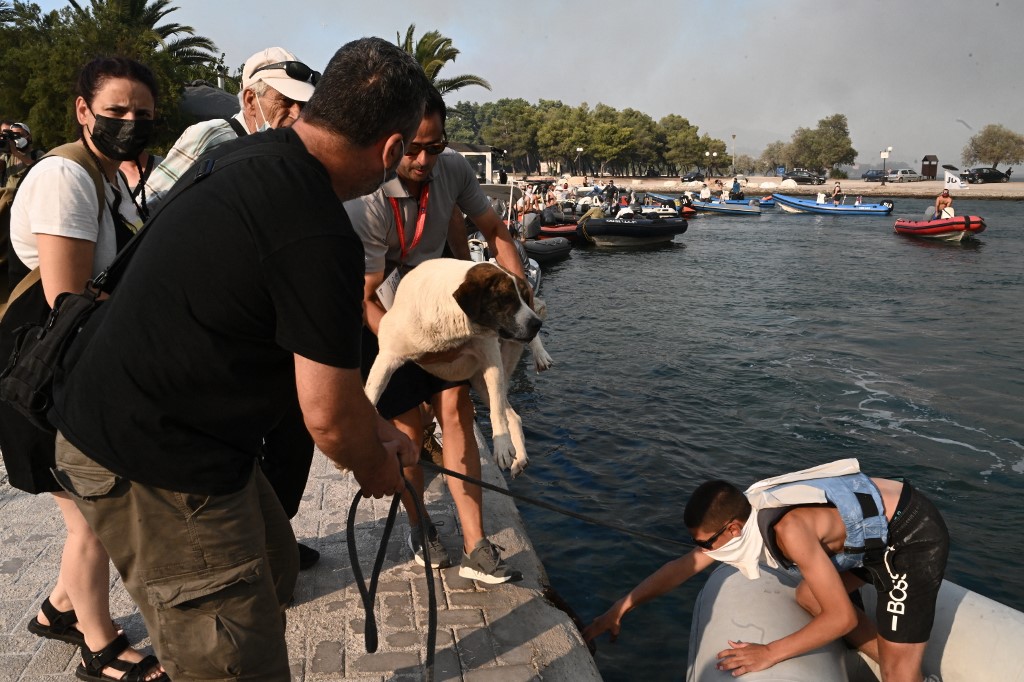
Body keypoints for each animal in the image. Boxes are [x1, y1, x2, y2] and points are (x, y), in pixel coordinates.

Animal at [362, 258, 548, 475]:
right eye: (506, 298)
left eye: (524, 297)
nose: (537, 324)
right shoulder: (386, 356)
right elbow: (371, 393)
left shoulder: (491, 357)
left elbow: (496, 411)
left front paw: (502, 446)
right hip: (481, 382)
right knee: (513, 416)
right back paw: (519, 458)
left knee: (504, 408)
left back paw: (541, 354)